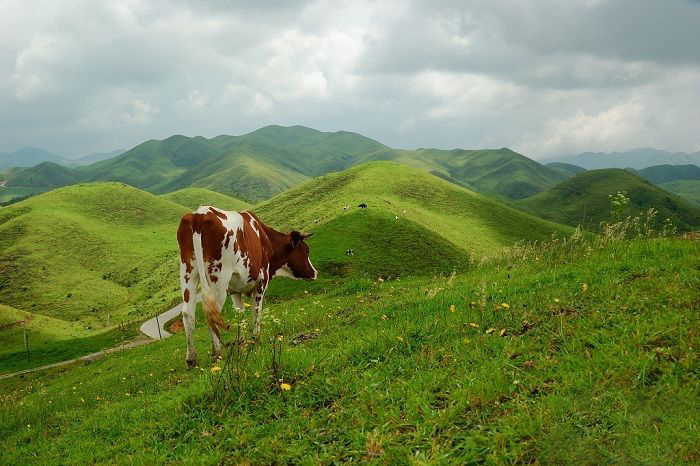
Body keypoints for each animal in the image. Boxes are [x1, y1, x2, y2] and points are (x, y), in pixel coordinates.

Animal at [176, 206, 318, 366]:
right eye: (306, 250)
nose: (315, 272)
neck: (266, 240)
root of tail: (201, 213)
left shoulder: (234, 290)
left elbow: (240, 313)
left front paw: (242, 342)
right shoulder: (261, 282)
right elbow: (257, 311)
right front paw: (256, 339)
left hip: (188, 272)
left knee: (188, 312)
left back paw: (191, 358)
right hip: (219, 277)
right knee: (212, 312)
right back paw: (217, 353)